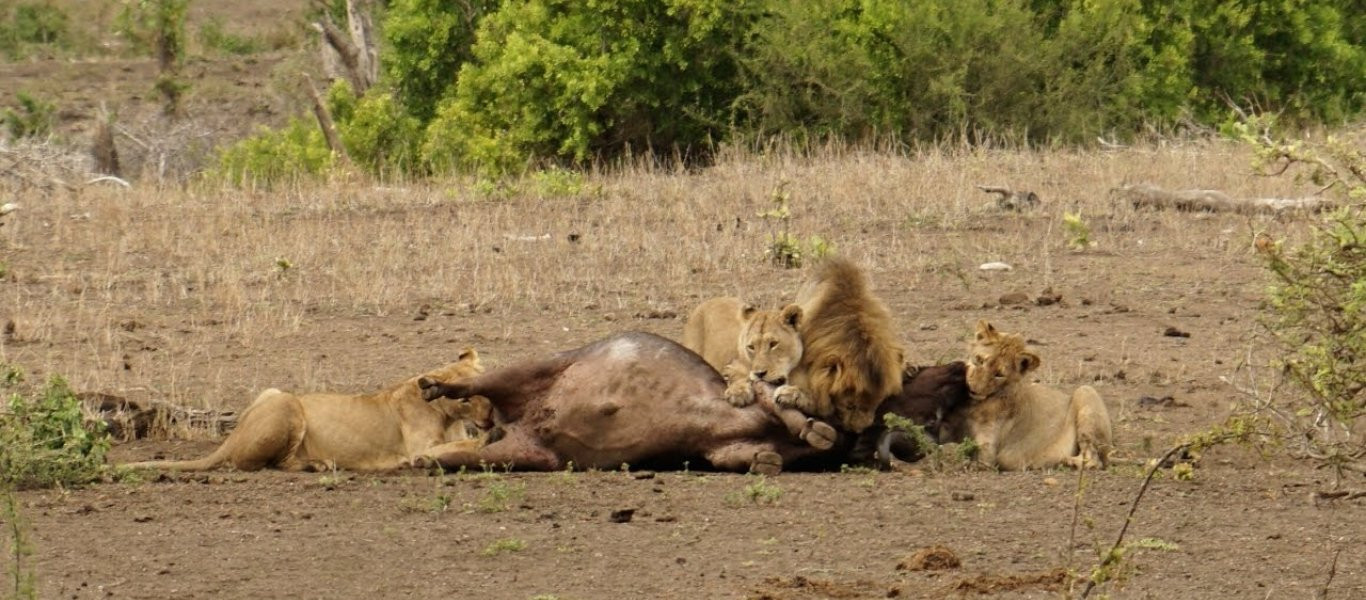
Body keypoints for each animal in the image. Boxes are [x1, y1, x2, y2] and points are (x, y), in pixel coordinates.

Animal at [124, 352, 491, 475]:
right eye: (465, 399)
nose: (489, 416)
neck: (448, 416)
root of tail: (233, 436)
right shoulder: (416, 451)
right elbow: (455, 447)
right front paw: (487, 440)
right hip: (288, 405)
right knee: (263, 464)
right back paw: (317, 465)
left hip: (273, 392)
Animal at [956, 321, 1114, 472]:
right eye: (979, 360)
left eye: (999, 375)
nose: (974, 389)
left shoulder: (989, 453)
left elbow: (978, 460)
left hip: (1085, 391)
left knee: (1095, 460)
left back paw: (1068, 462)